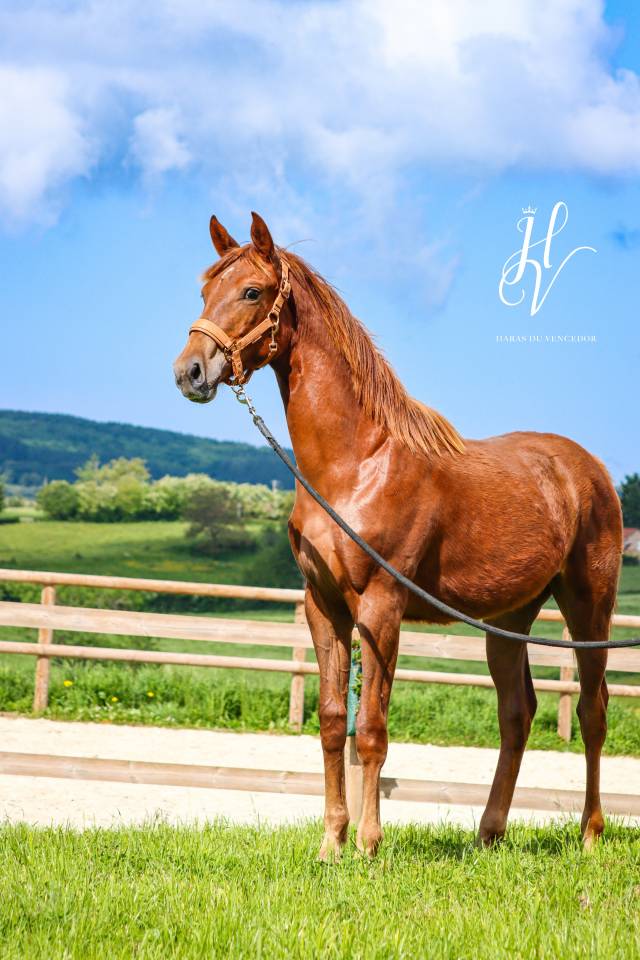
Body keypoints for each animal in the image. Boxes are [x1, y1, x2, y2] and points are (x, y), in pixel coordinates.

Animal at [174, 212, 622, 859]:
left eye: (252, 292)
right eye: (205, 290)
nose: (189, 372)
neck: (355, 465)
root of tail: (588, 468)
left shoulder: (381, 608)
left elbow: (372, 731)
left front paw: (367, 846)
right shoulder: (325, 607)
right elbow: (333, 722)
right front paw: (331, 843)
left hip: (589, 608)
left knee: (592, 710)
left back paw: (590, 834)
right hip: (509, 619)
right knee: (517, 713)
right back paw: (489, 833)